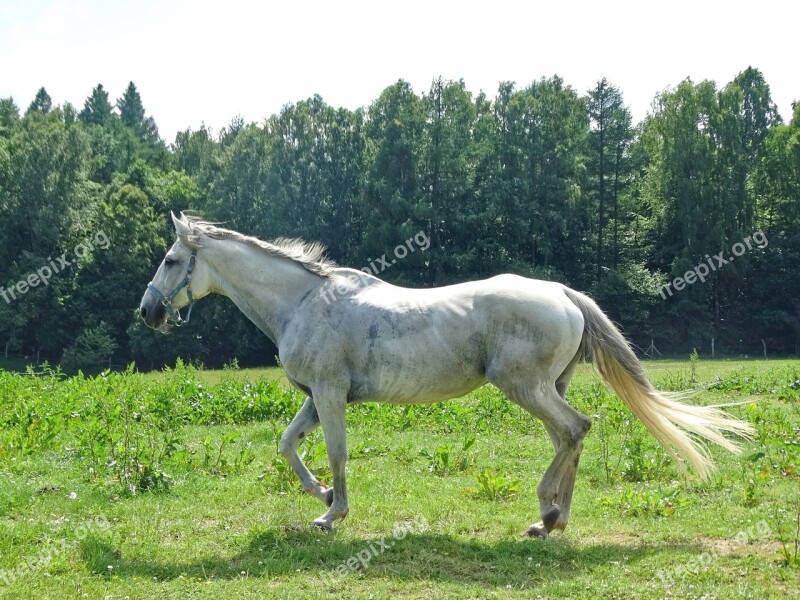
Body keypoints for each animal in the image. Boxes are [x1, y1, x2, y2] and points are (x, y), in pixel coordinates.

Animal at [141, 213, 752, 536]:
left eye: (171, 261)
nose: (147, 312)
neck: (305, 302)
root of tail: (563, 293)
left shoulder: (331, 394)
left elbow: (336, 453)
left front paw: (333, 513)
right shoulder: (317, 397)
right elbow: (289, 444)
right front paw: (321, 498)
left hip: (525, 387)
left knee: (574, 429)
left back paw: (548, 515)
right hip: (545, 388)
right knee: (569, 436)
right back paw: (551, 519)